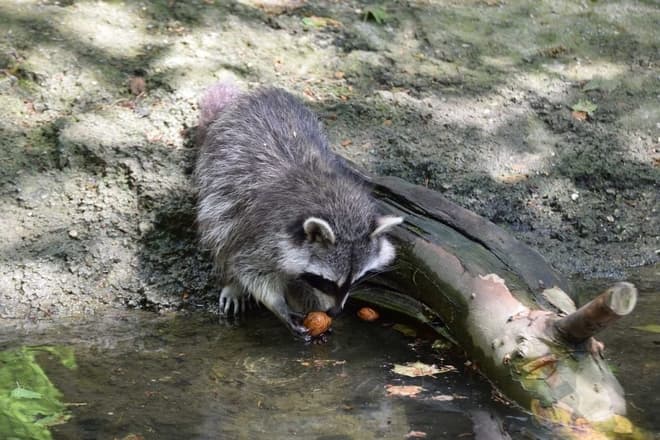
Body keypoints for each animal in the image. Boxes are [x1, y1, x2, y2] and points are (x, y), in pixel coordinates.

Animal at [195, 84, 402, 338]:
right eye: (327, 282)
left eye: (356, 280)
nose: (335, 313)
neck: (331, 201)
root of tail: (254, 94)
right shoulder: (263, 229)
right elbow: (250, 267)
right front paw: (278, 305)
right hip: (217, 176)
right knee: (221, 229)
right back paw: (231, 282)